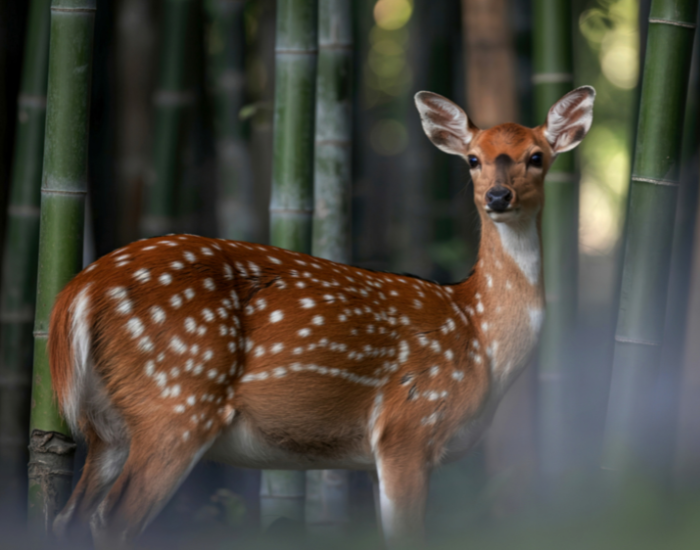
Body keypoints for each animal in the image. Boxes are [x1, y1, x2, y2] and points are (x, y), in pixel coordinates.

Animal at [48, 85, 594, 548]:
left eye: (537, 157)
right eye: (473, 160)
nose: (497, 197)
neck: (479, 338)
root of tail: (75, 293)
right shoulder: (408, 426)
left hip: (110, 425)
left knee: (69, 517)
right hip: (175, 400)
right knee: (113, 520)